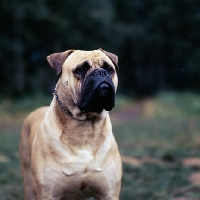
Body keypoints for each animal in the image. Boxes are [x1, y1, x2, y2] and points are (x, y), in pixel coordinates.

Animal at [19, 48, 122, 200]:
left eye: (109, 69)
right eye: (80, 69)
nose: (101, 72)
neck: (85, 125)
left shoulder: (108, 193)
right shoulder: (46, 194)